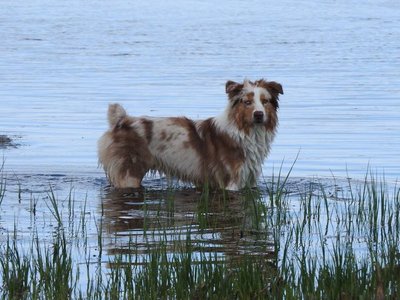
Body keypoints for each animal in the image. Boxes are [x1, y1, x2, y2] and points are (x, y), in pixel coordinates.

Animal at [98, 78, 282, 191]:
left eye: (265, 101)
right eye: (247, 102)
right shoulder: (231, 183)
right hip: (128, 175)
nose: (258, 115)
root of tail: (122, 120)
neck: (245, 131)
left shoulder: (249, 180)